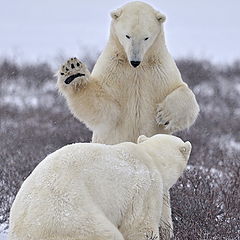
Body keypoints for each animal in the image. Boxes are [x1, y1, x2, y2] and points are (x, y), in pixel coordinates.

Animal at [56, 0, 199, 238]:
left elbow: (184, 94)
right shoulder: (114, 72)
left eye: (146, 37)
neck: (137, 70)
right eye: (127, 35)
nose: (135, 60)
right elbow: (101, 107)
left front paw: (164, 113)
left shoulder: (160, 71)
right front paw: (73, 72)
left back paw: (166, 230)